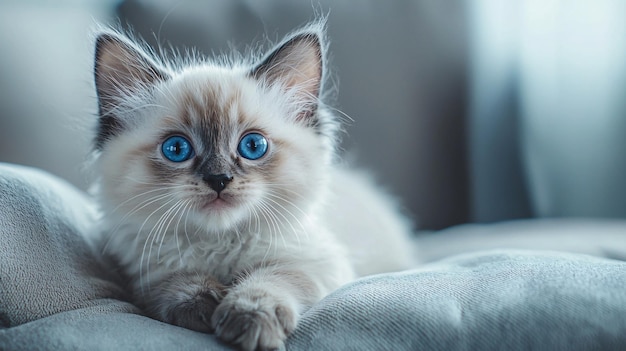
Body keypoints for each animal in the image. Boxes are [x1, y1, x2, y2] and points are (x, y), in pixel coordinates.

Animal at [91, 22, 414, 351]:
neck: (219, 245)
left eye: (253, 146)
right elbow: (177, 282)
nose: (219, 179)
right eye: (177, 149)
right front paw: (205, 304)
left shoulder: (315, 263)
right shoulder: (144, 272)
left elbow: (272, 278)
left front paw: (250, 320)